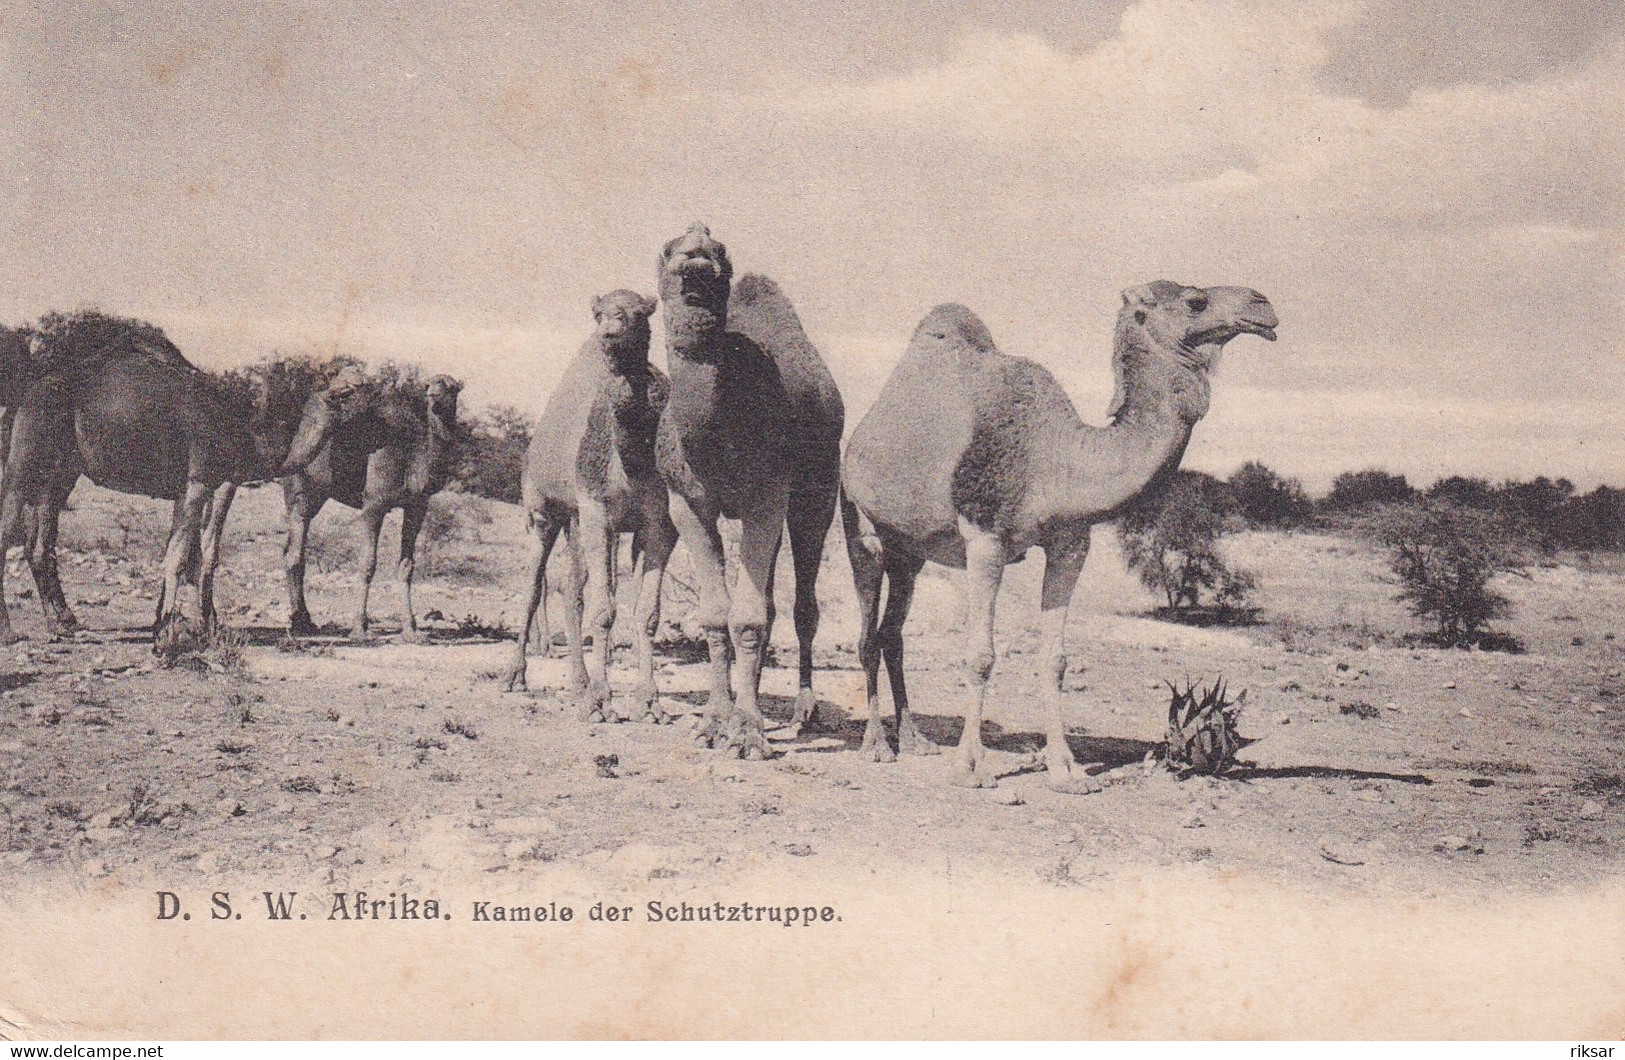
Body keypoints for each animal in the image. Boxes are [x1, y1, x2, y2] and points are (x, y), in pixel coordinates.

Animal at [279, 369, 464, 640]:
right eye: (428, 385)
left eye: (451, 387)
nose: (433, 395)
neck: (413, 456)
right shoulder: (373, 505)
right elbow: (367, 564)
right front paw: (359, 628)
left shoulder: (417, 505)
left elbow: (406, 566)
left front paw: (411, 630)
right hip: (298, 486)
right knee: (294, 551)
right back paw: (300, 623)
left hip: (316, 494)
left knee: (292, 551)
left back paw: (305, 621)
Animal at [494, 289, 672, 721]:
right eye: (600, 313)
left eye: (638, 313)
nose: (609, 334)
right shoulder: (596, 510)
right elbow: (604, 610)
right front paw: (601, 702)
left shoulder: (657, 522)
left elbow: (646, 613)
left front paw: (649, 702)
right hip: (544, 510)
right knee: (535, 585)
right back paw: (515, 676)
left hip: (575, 521)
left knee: (573, 587)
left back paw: (578, 682)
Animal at [838, 278, 1280, 790]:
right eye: (1195, 301)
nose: (1262, 306)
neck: (1055, 456)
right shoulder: (985, 540)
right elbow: (980, 655)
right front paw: (971, 767)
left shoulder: (1070, 545)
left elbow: (1055, 660)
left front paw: (1067, 769)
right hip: (860, 524)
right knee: (867, 633)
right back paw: (876, 746)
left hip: (910, 551)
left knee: (892, 632)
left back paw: (914, 740)